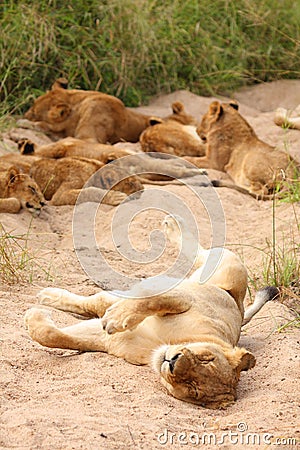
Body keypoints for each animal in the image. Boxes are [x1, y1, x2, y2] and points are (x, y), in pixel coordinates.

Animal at [24, 214, 278, 408]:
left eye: (194, 389)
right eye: (207, 359)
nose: (173, 362)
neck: (159, 344)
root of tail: (240, 307)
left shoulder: (110, 342)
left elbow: (54, 336)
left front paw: (35, 317)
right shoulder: (184, 297)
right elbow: (150, 299)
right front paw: (116, 318)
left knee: (96, 303)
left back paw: (48, 297)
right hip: (228, 265)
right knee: (199, 253)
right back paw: (172, 225)